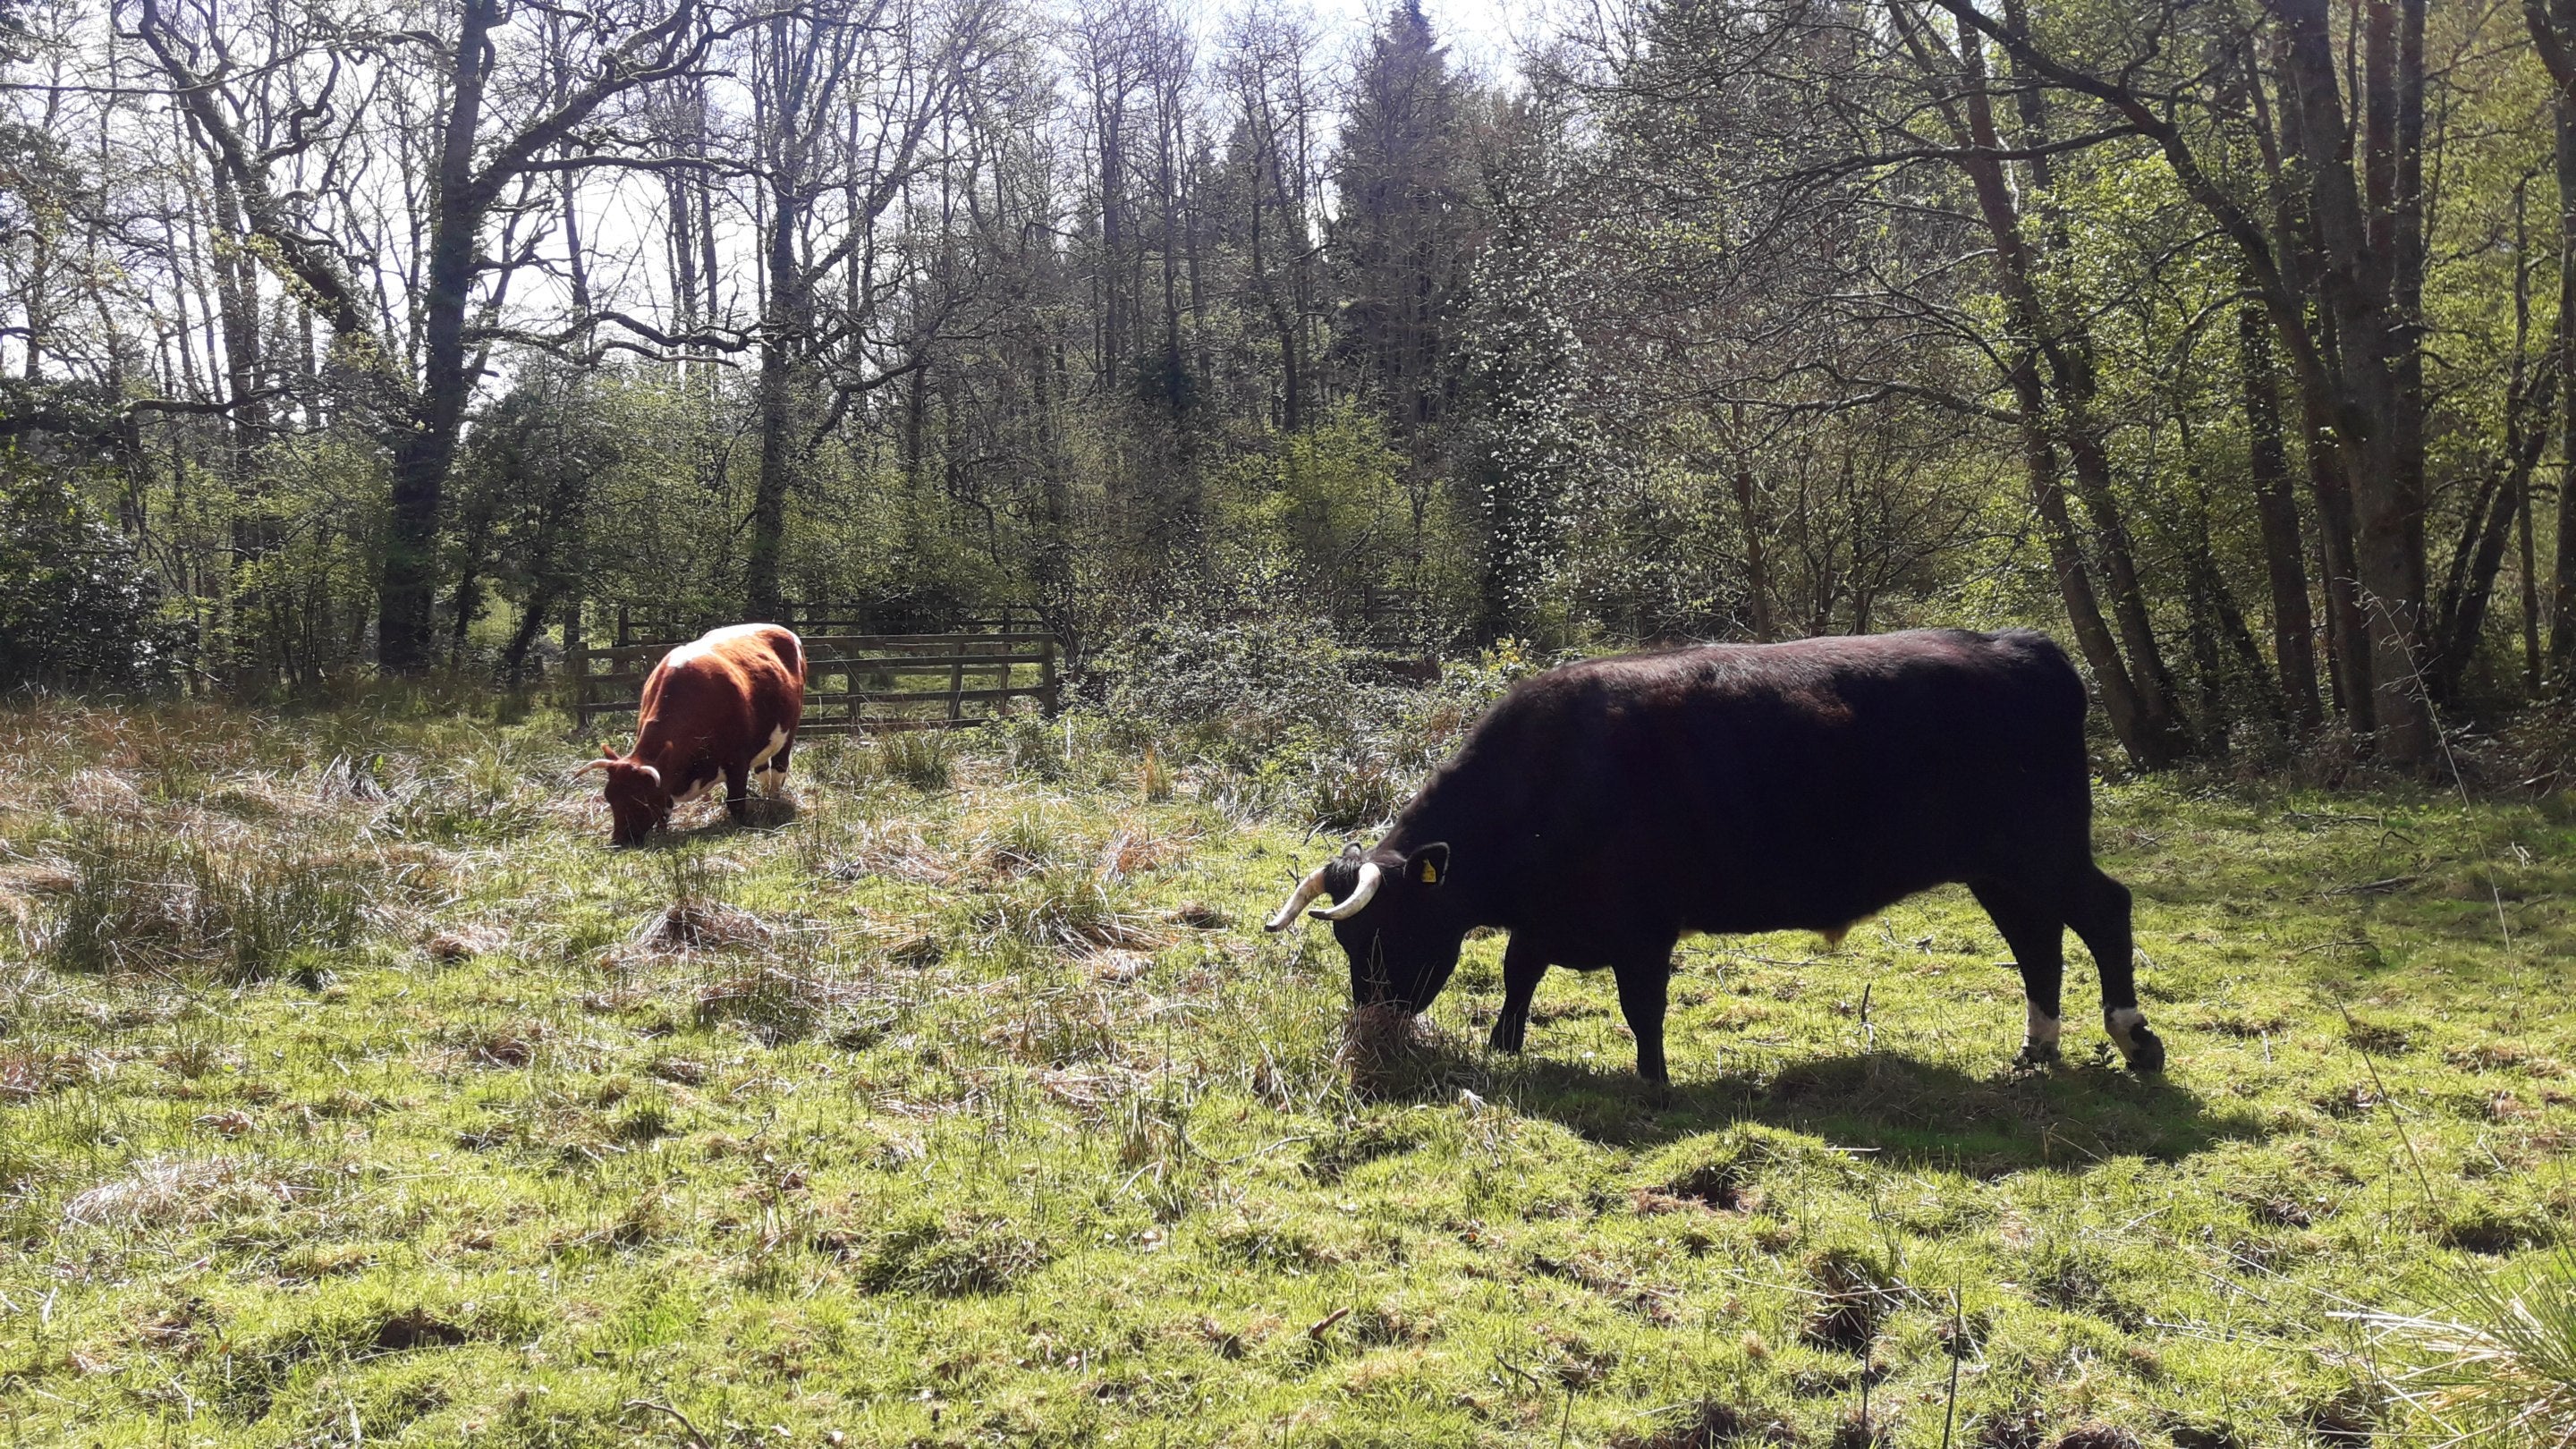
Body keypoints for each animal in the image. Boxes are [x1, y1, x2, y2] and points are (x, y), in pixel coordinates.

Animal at [578, 623, 806, 846]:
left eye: (641, 798)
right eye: (609, 797)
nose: (619, 841)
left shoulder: (737, 763)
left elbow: (735, 803)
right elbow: (665, 809)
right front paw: (662, 834)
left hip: (789, 733)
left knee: (778, 769)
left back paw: (773, 802)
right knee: (762, 771)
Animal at [1262, 628, 2163, 1084]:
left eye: (1389, 932)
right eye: (1348, 941)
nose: (1371, 1031)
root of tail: (2025, 645)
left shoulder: (1642, 924)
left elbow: (1642, 1005)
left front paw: (1654, 1083)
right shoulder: (1550, 918)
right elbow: (1520, 976)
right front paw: (1505, 1050)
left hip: (2042, 849)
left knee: (2102, 912)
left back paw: (2134, 1040)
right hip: (1997, 866)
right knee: (2036, 939)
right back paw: (2036, 1049)